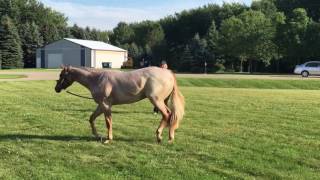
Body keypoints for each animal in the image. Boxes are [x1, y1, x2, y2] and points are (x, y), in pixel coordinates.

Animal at [55, 65, 185, 143]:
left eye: (62, 75)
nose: (56, 89)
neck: (97, 79)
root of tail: (168, 73)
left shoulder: (106, 105)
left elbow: (108, 122)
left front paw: (108, 139)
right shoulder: (101, 106)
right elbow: (91, 118)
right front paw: (97, 136)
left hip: (156, 100)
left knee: (167, 115)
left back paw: (159, 136)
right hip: (162, 101)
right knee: (170, 115)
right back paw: (170, 137)